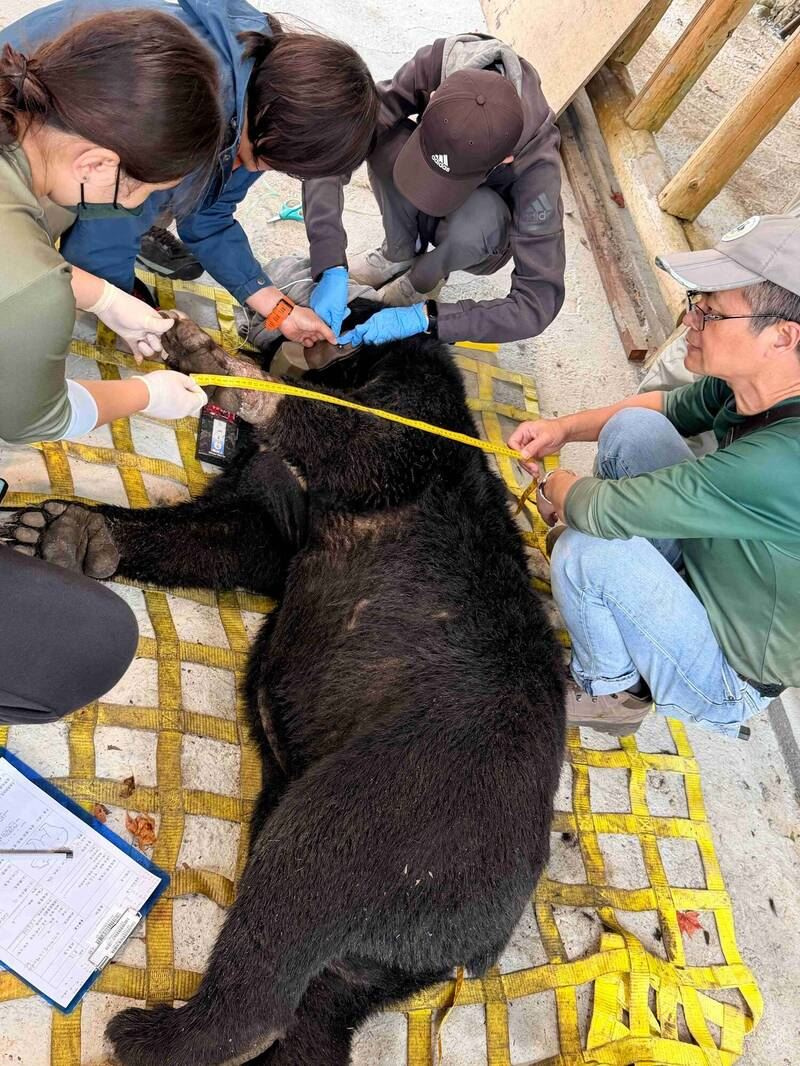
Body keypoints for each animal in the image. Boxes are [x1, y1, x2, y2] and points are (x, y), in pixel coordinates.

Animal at [11, 306, 565, 1066]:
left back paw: (155, 1033)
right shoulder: (284, 510)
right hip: (382, 949)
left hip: (414, 804)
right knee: (317, 1004)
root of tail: (482, 944)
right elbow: (247, 534)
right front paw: (69, 529)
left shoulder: (415, 425)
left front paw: (205, 355)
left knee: (305, 878)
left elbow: (355, 438)